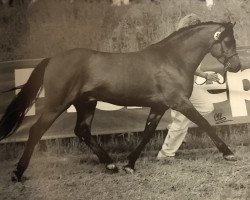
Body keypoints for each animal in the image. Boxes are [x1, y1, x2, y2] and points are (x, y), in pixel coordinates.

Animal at [0, 21, 242, 181]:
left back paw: (111, 164)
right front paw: (229, 154)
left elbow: (147, 132)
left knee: (82, 131)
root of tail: (52, 59)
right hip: (57, 104)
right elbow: (204, 123)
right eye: (228, 41)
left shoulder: (159, 106)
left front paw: (129, 164)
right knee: (36, 131)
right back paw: (18, 172)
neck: (173, 59)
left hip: (86, 103)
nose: (237, 66)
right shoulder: (179, 102)